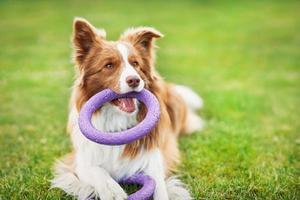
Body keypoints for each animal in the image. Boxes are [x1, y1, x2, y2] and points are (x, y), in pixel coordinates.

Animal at [51, 17, 203, 200]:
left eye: (135, 63)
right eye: (109, 65)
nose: (134, 80)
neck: (117, 124)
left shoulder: (154, 160)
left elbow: (159, 186)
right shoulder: (79, 161)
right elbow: (97, 171)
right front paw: (112, 190)